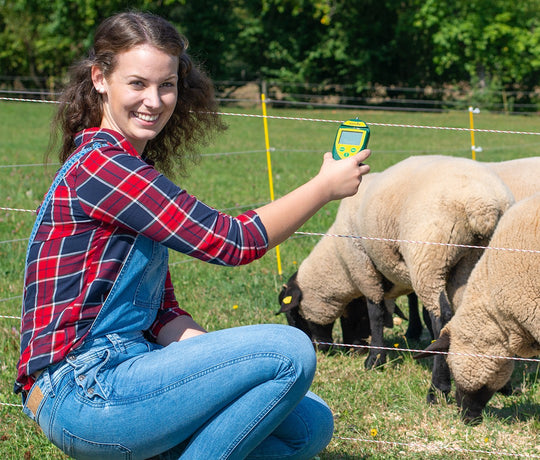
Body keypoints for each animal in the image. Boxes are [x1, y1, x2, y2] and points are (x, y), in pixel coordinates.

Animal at [278, 154, 516, 398]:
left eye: (293, 317)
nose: (320, 349)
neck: (340, 264)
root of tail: (483, 207)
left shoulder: (363, 267)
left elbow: (375, 312)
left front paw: (374, 359)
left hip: (429, 258)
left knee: (442, 318)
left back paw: (438, 388)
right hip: (473, 261)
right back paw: (502, 385)